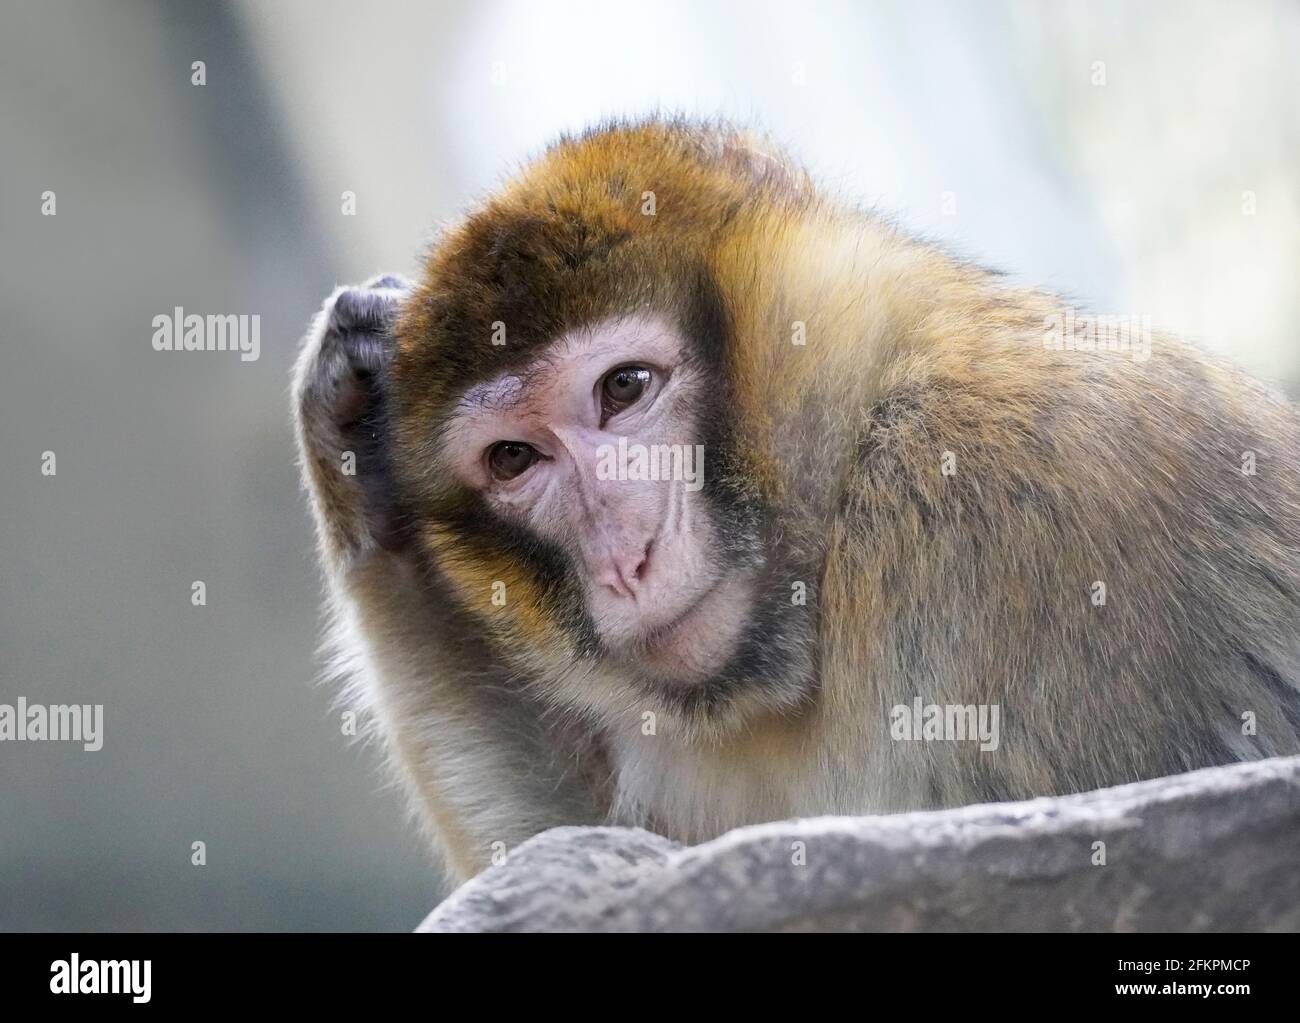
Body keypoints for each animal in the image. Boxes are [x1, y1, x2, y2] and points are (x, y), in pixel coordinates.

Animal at [293, 118, 1300, 884]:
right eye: (513, 457)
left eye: (624, 388)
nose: (623, 558)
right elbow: (580, 851)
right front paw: (353, 449)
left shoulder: (1029, 507)